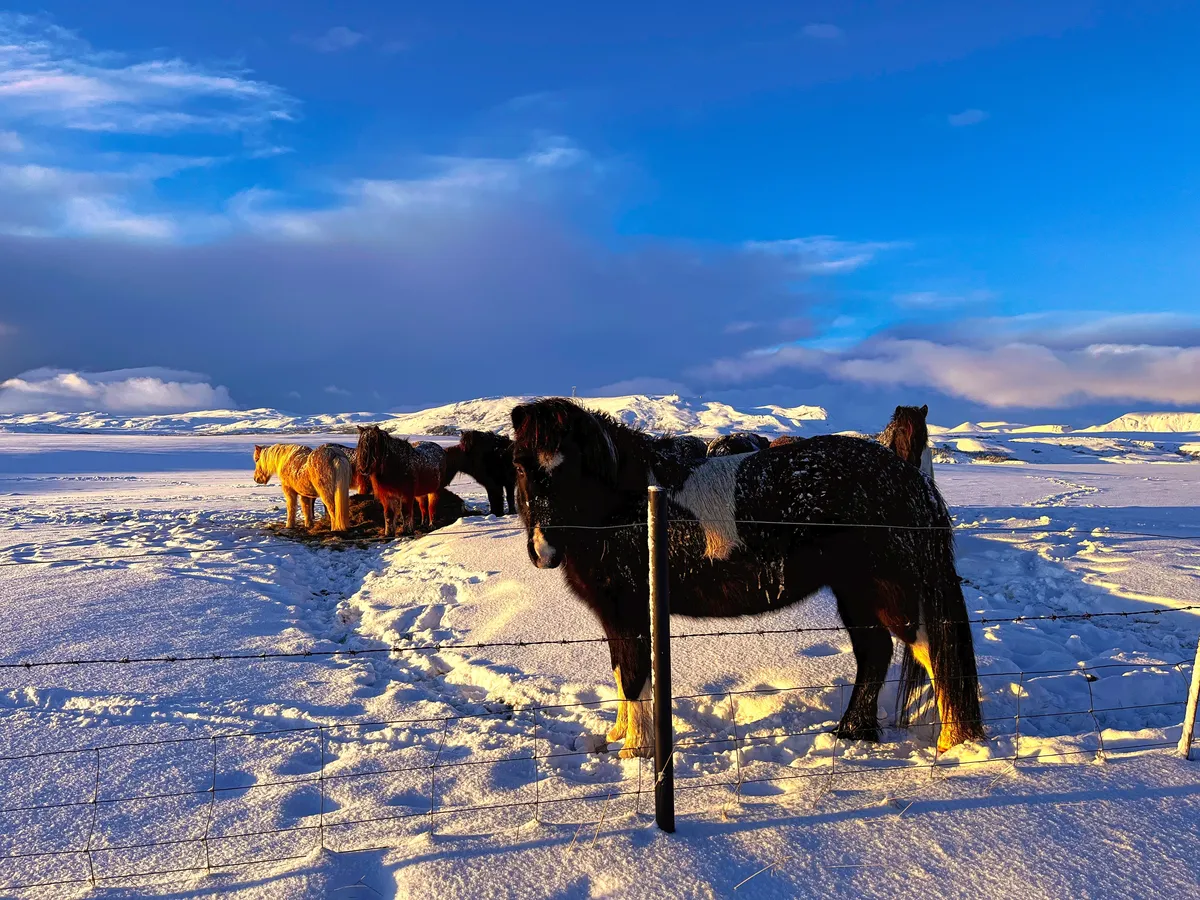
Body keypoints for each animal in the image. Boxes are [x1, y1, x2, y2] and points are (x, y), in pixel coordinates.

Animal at [511, 398, 984, 759]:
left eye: (570, 468)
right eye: (519, 466)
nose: (543, 553)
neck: (626, 504)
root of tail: (910, 478)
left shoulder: (629, 610)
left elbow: (632, 678)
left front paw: (635, 752)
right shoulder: (616, 615)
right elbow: (620, 673)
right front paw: (616, 736)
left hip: (890, 591)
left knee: (930, 648)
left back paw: (953, 746)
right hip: (857, 593)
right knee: (876, 653)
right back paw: (852, 732)